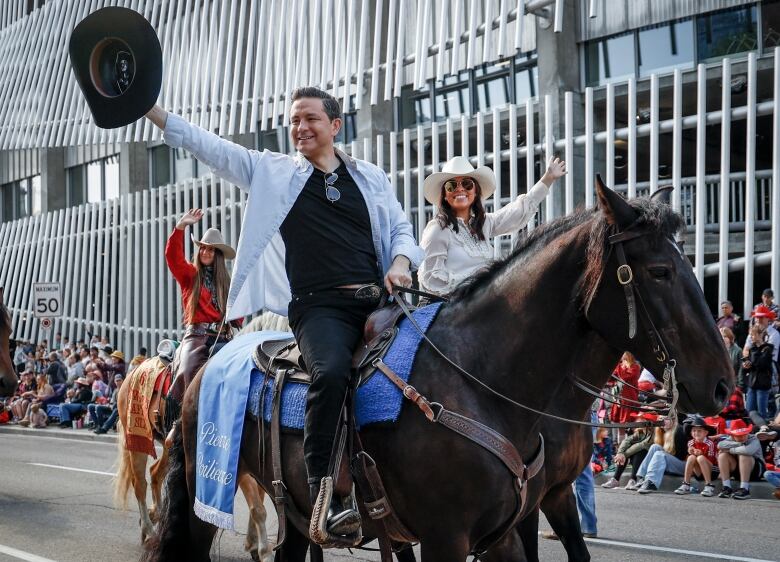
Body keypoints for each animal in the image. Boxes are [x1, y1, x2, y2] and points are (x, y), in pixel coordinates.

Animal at [112, 356, 274, 556]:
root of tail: (133, 371)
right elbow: (258, 508)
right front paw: (264, 551)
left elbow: (259, 501)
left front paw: (253, 544)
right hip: (137, 439)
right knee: (140, 484)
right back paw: (149, 531)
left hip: (170, 448)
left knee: (155, 472)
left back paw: (156, 515)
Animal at [143, 179, 736, 560]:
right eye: (659, 270)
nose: (722, 385)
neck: (484, 382)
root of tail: (212, 364)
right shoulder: (447, 538)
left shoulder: (517, 523)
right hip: (203, 495)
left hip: (292, 508)